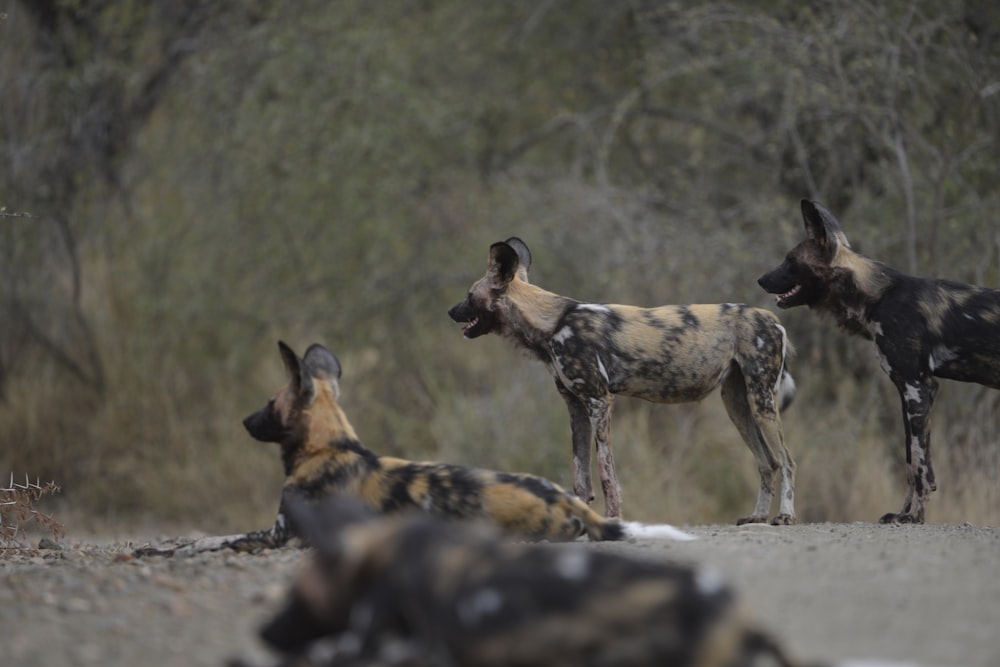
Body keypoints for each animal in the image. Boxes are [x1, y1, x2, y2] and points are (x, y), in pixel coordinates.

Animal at [137, 344, 692, 560]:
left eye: (269, 404)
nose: (244, 422)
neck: (329, 447)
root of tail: (564, 501)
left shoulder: (278, 536)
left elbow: (209, 541)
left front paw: (160, 549)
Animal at [446, 240, 796, 528]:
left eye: (469, 296)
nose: (450, 310)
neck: (552, 325)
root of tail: (771, 317)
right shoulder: (575, 407)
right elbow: (580, 476)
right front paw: (580, 521)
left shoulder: (599, 401)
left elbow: (606, 473)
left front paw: (613, 518)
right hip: (738, 406)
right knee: (767, 462)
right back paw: (758, 516)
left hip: (762, 402)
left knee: (787, 461)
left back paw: (785, 515)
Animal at [756, 201, 1000, 524]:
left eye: (790, 260)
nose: (760, 279)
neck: (878, 296)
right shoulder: (907, 391)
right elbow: (910, 463)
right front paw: (903, 513)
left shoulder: (918, 388)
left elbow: (921, 467)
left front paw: (915, 517)